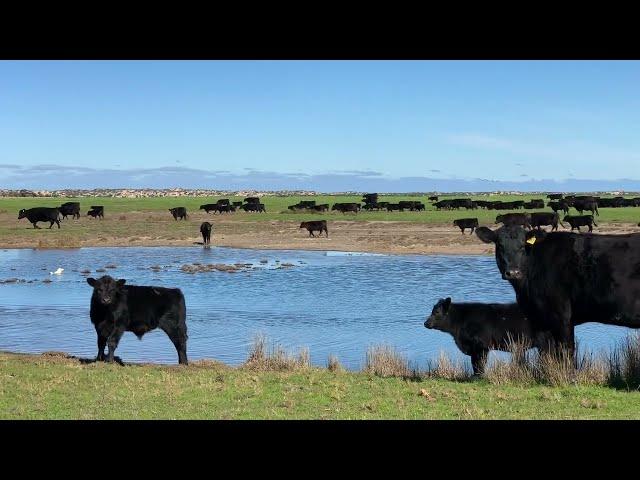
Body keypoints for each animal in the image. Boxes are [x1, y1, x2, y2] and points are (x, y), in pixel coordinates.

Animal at [476, 224, 640, 352]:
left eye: (523, 246)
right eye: (500, 245)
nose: (513, 272)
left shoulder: (561, 316)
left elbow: (565, 353)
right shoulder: (540, 320)